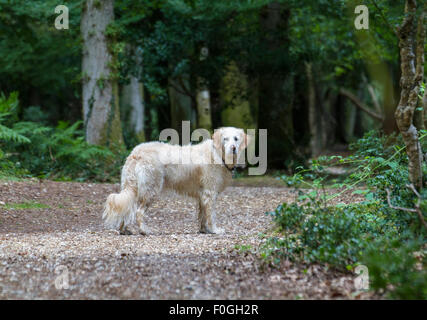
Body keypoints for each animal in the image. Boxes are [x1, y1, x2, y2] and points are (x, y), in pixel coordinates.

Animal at [103, 126, 249, 234]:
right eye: (225, 139)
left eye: (236, 139)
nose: (233, 148)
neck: (217, 154)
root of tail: (136, 153)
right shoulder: (210, 194)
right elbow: (211, 215)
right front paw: (215, 230)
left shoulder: (203, 196)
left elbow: (202, 215)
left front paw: (204, 230)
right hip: (150, 190)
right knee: (138, 212)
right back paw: (144, 231)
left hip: (134, 189)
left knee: (127, 209)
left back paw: (124, 230)